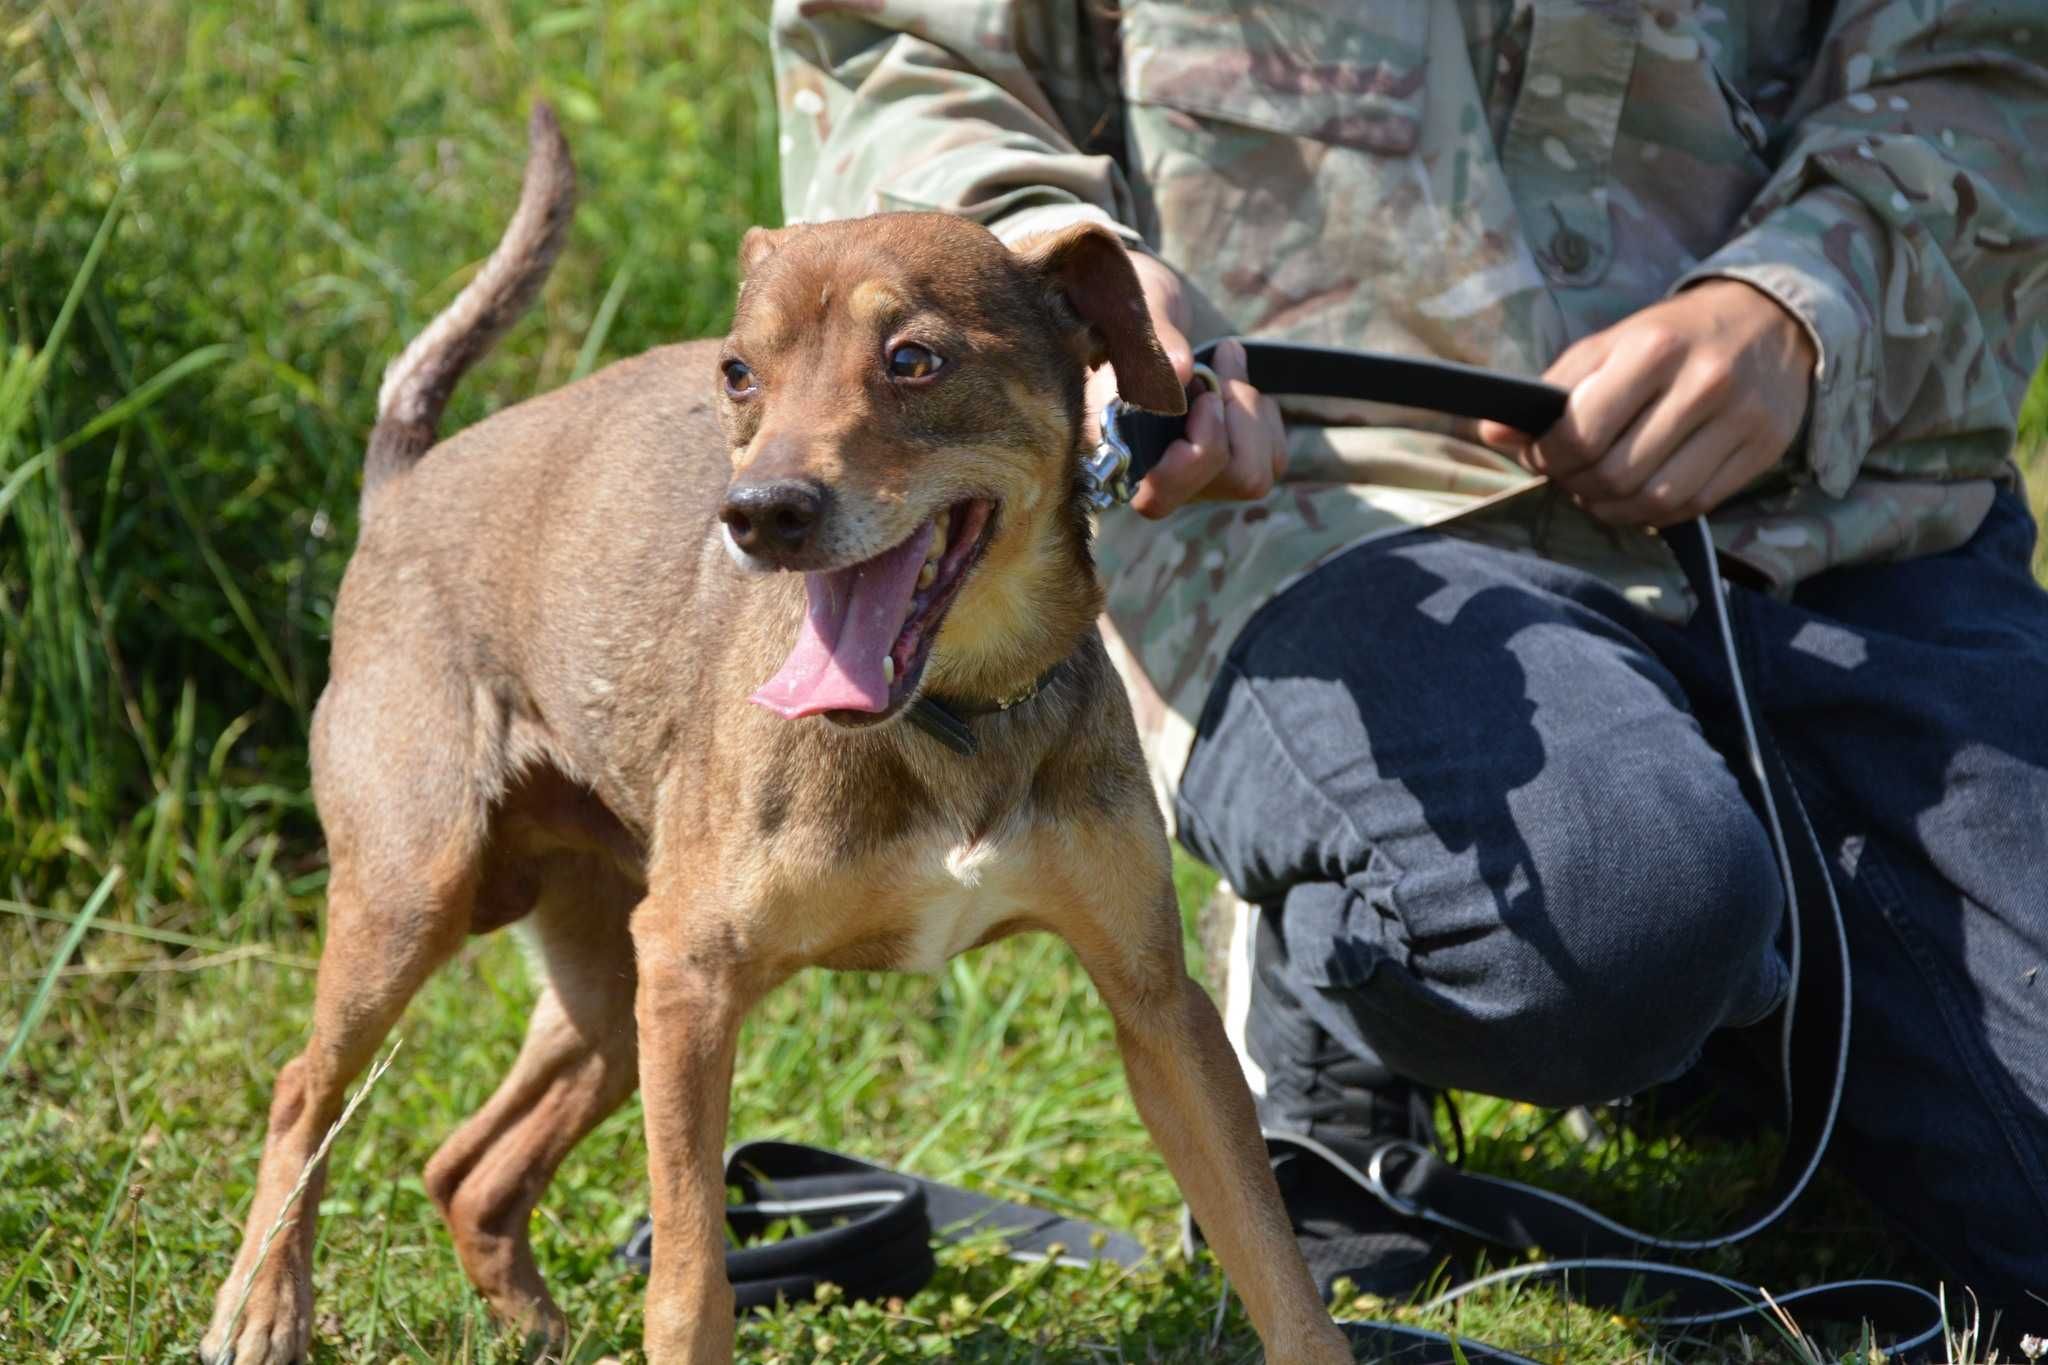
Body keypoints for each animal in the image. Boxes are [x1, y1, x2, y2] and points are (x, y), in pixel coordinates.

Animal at [199, 104, 1351, 1365]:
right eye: (738, 372)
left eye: (913, 359)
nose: (757, 514)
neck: (951, 715)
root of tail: (397, 488)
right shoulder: (695, 980)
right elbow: (690, 1276)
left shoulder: (1157, 1007)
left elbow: (1278, 1269)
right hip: (423, 901)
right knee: (302, 1089)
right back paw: (262, 1307)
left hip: (607, 989)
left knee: (467, 1166)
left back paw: (525, 1322)